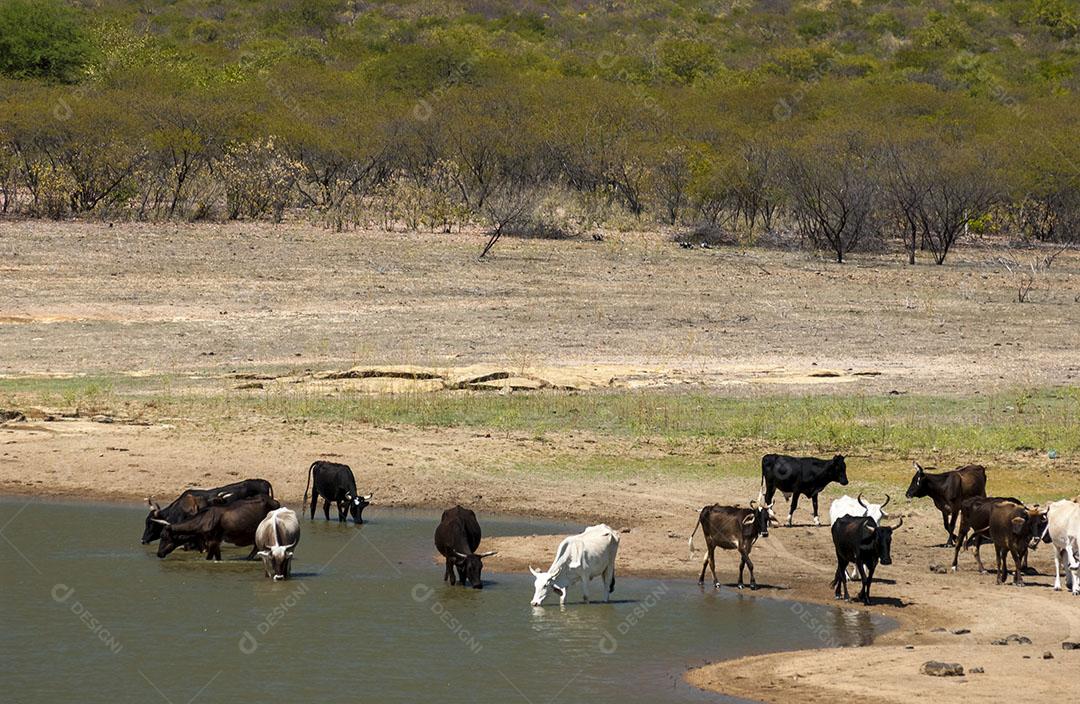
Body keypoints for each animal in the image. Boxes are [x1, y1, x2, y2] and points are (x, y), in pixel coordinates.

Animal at [156, 494, 285, 561]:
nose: (158, 553)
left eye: (163, 536)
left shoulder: (212, 541)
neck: (203, 520)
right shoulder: (215, 542)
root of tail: (275, 502)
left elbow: (209, 557)